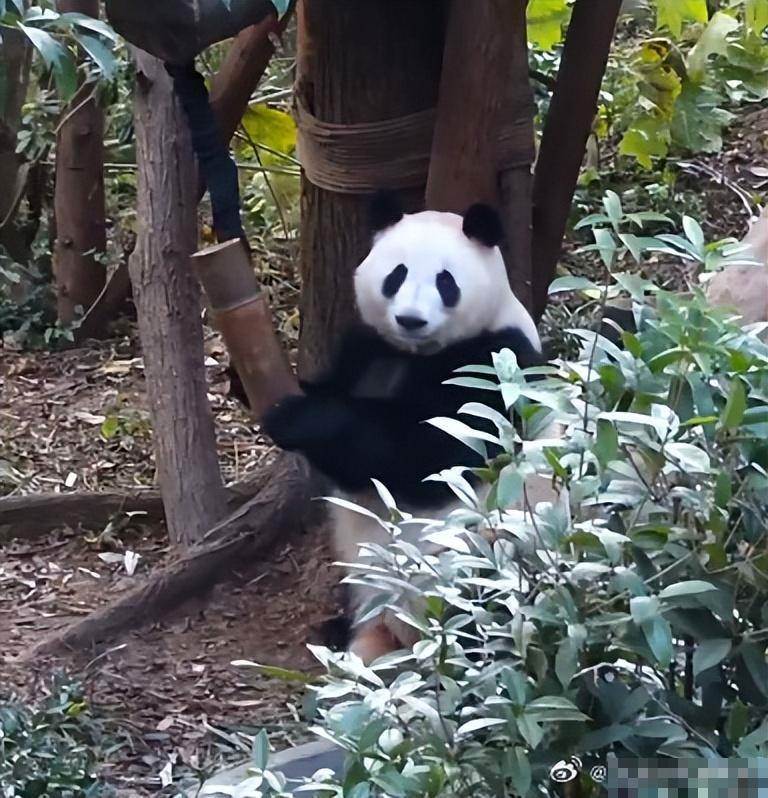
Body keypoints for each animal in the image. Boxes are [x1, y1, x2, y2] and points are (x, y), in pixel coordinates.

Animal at [260, 191, 544, 664]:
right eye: (397, 274)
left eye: (446, 282)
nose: (411, 320)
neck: (414, 353)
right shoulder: (365, 347)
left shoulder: (495, 366)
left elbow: (424, 457)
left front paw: (299, 418)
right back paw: (338, 631)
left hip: (479, 563)